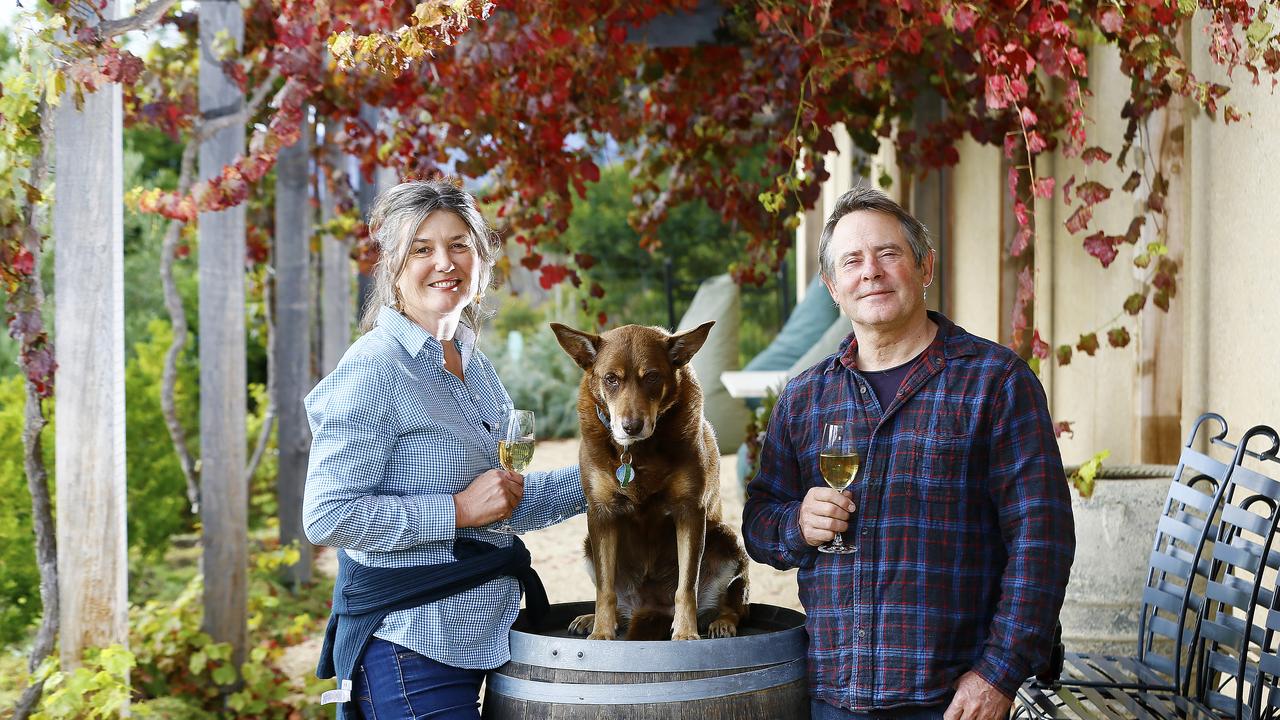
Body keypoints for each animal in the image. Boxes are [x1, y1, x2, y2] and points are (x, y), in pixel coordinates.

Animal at [550, 319, 747, 638]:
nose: (631, 426)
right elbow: (604, 589)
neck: (636, 452)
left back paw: (722, 622)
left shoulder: (690, 512)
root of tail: (649, 609)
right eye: (611, 379)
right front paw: (601, 632)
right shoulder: (601, 514)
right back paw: (592, 619)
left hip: (727, 539)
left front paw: (686, 632)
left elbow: (686, 586)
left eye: (652, 377)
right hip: (589, 546)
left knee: (735, 604)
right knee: (616, 601)